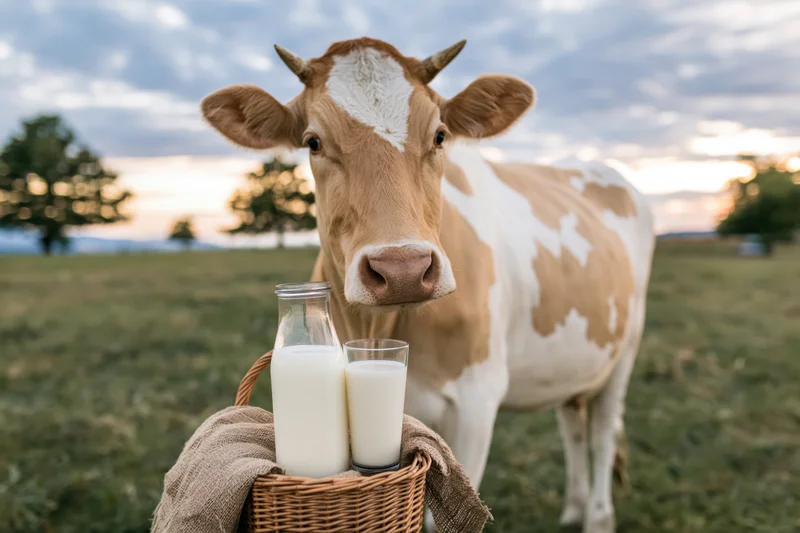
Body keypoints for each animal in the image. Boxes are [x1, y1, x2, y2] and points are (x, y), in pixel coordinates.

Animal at [201, 38, 655, 533]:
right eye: (313, 142)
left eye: (439, 135)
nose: (402, 269)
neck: (381, 325)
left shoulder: (477, 403)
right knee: (573, 422)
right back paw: (573, 508)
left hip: (626, 348)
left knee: (603, 432)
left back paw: (598, 515)